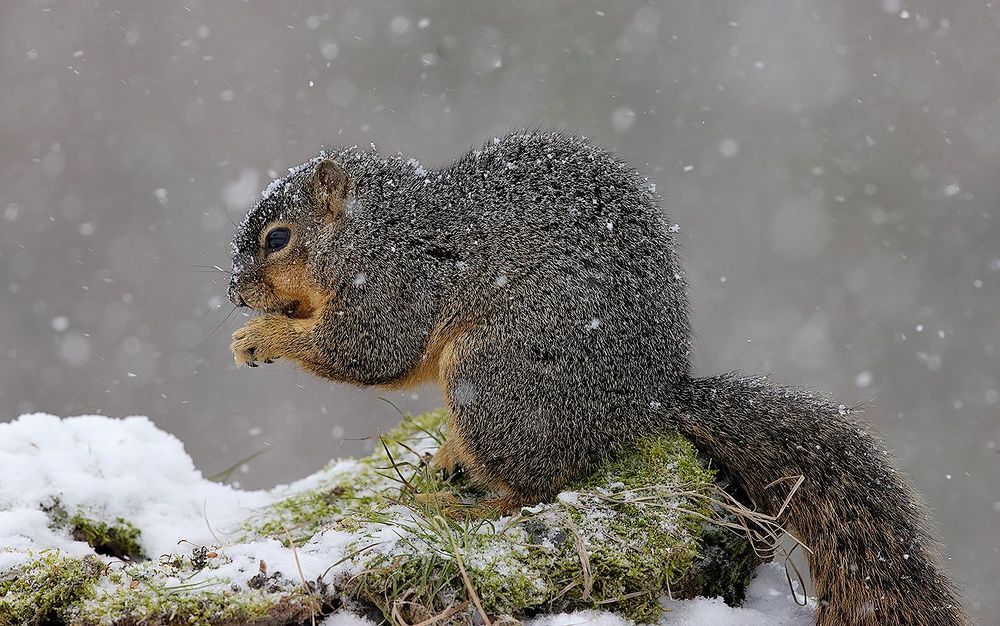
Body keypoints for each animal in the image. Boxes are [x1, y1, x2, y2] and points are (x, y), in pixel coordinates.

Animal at [227, 132, 965, 626]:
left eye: (277, 238)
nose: (235, 295)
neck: (374, 229)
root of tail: (651, 402)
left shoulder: (396, 283)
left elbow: (367, 351)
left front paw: (261, 338)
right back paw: (447, 462)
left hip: (495, 375)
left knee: (537, 486)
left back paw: (463, 504)